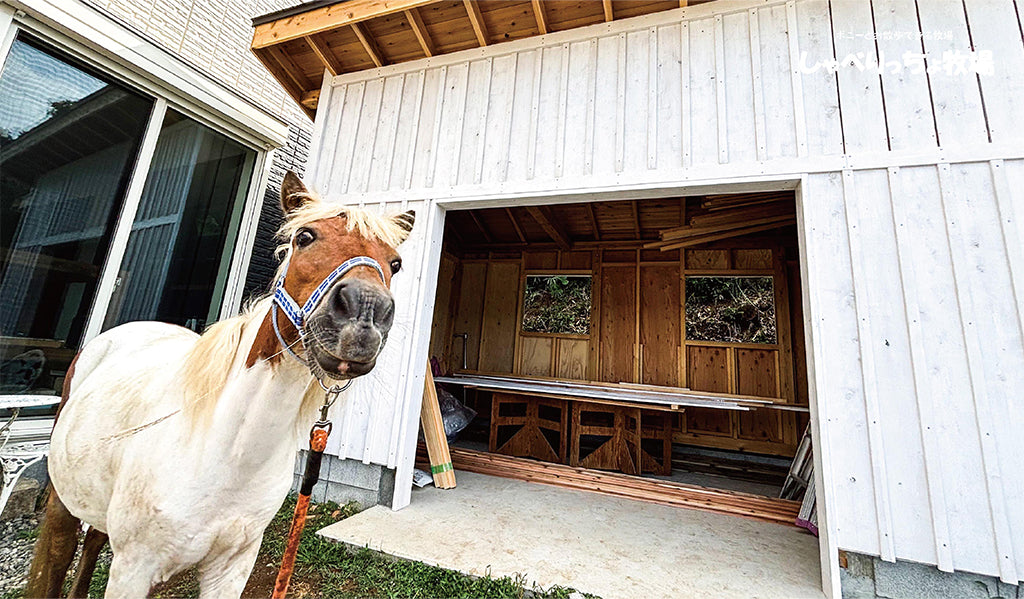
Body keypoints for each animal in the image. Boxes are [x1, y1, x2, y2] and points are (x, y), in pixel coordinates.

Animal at [20, 172, 411, 597]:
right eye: (304, 236)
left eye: (395, 263)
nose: (365, 313)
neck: (231, 451)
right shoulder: (134, 567)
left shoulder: (233, 566)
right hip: (63, 499)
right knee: (58, 555)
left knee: (93, 541)